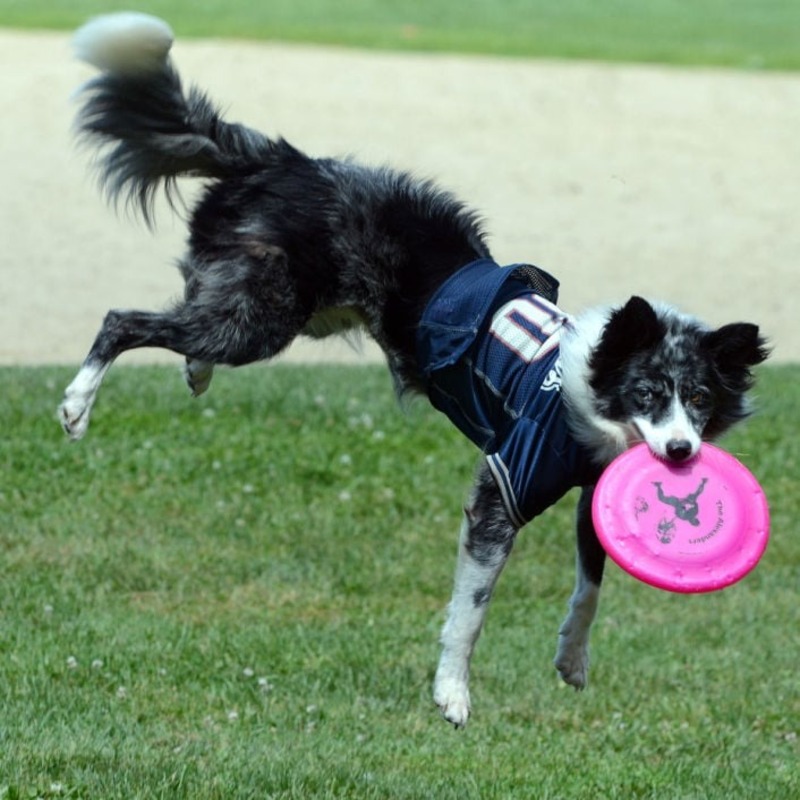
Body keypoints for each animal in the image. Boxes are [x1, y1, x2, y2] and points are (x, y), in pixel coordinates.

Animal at [57, 14, 768, 724]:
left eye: (700, 399)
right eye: (646, 392)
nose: (680, 453)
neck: (588, 403)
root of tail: (288, 161)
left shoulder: (593, 493)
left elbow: (591, 587)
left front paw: (571, 660)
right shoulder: (502, 490)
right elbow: (473, 610)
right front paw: (452, 693)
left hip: (285, 309)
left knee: (189, 315)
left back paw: (195, 373)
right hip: (261, 318)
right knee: (124, 320)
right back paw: (77, 404)